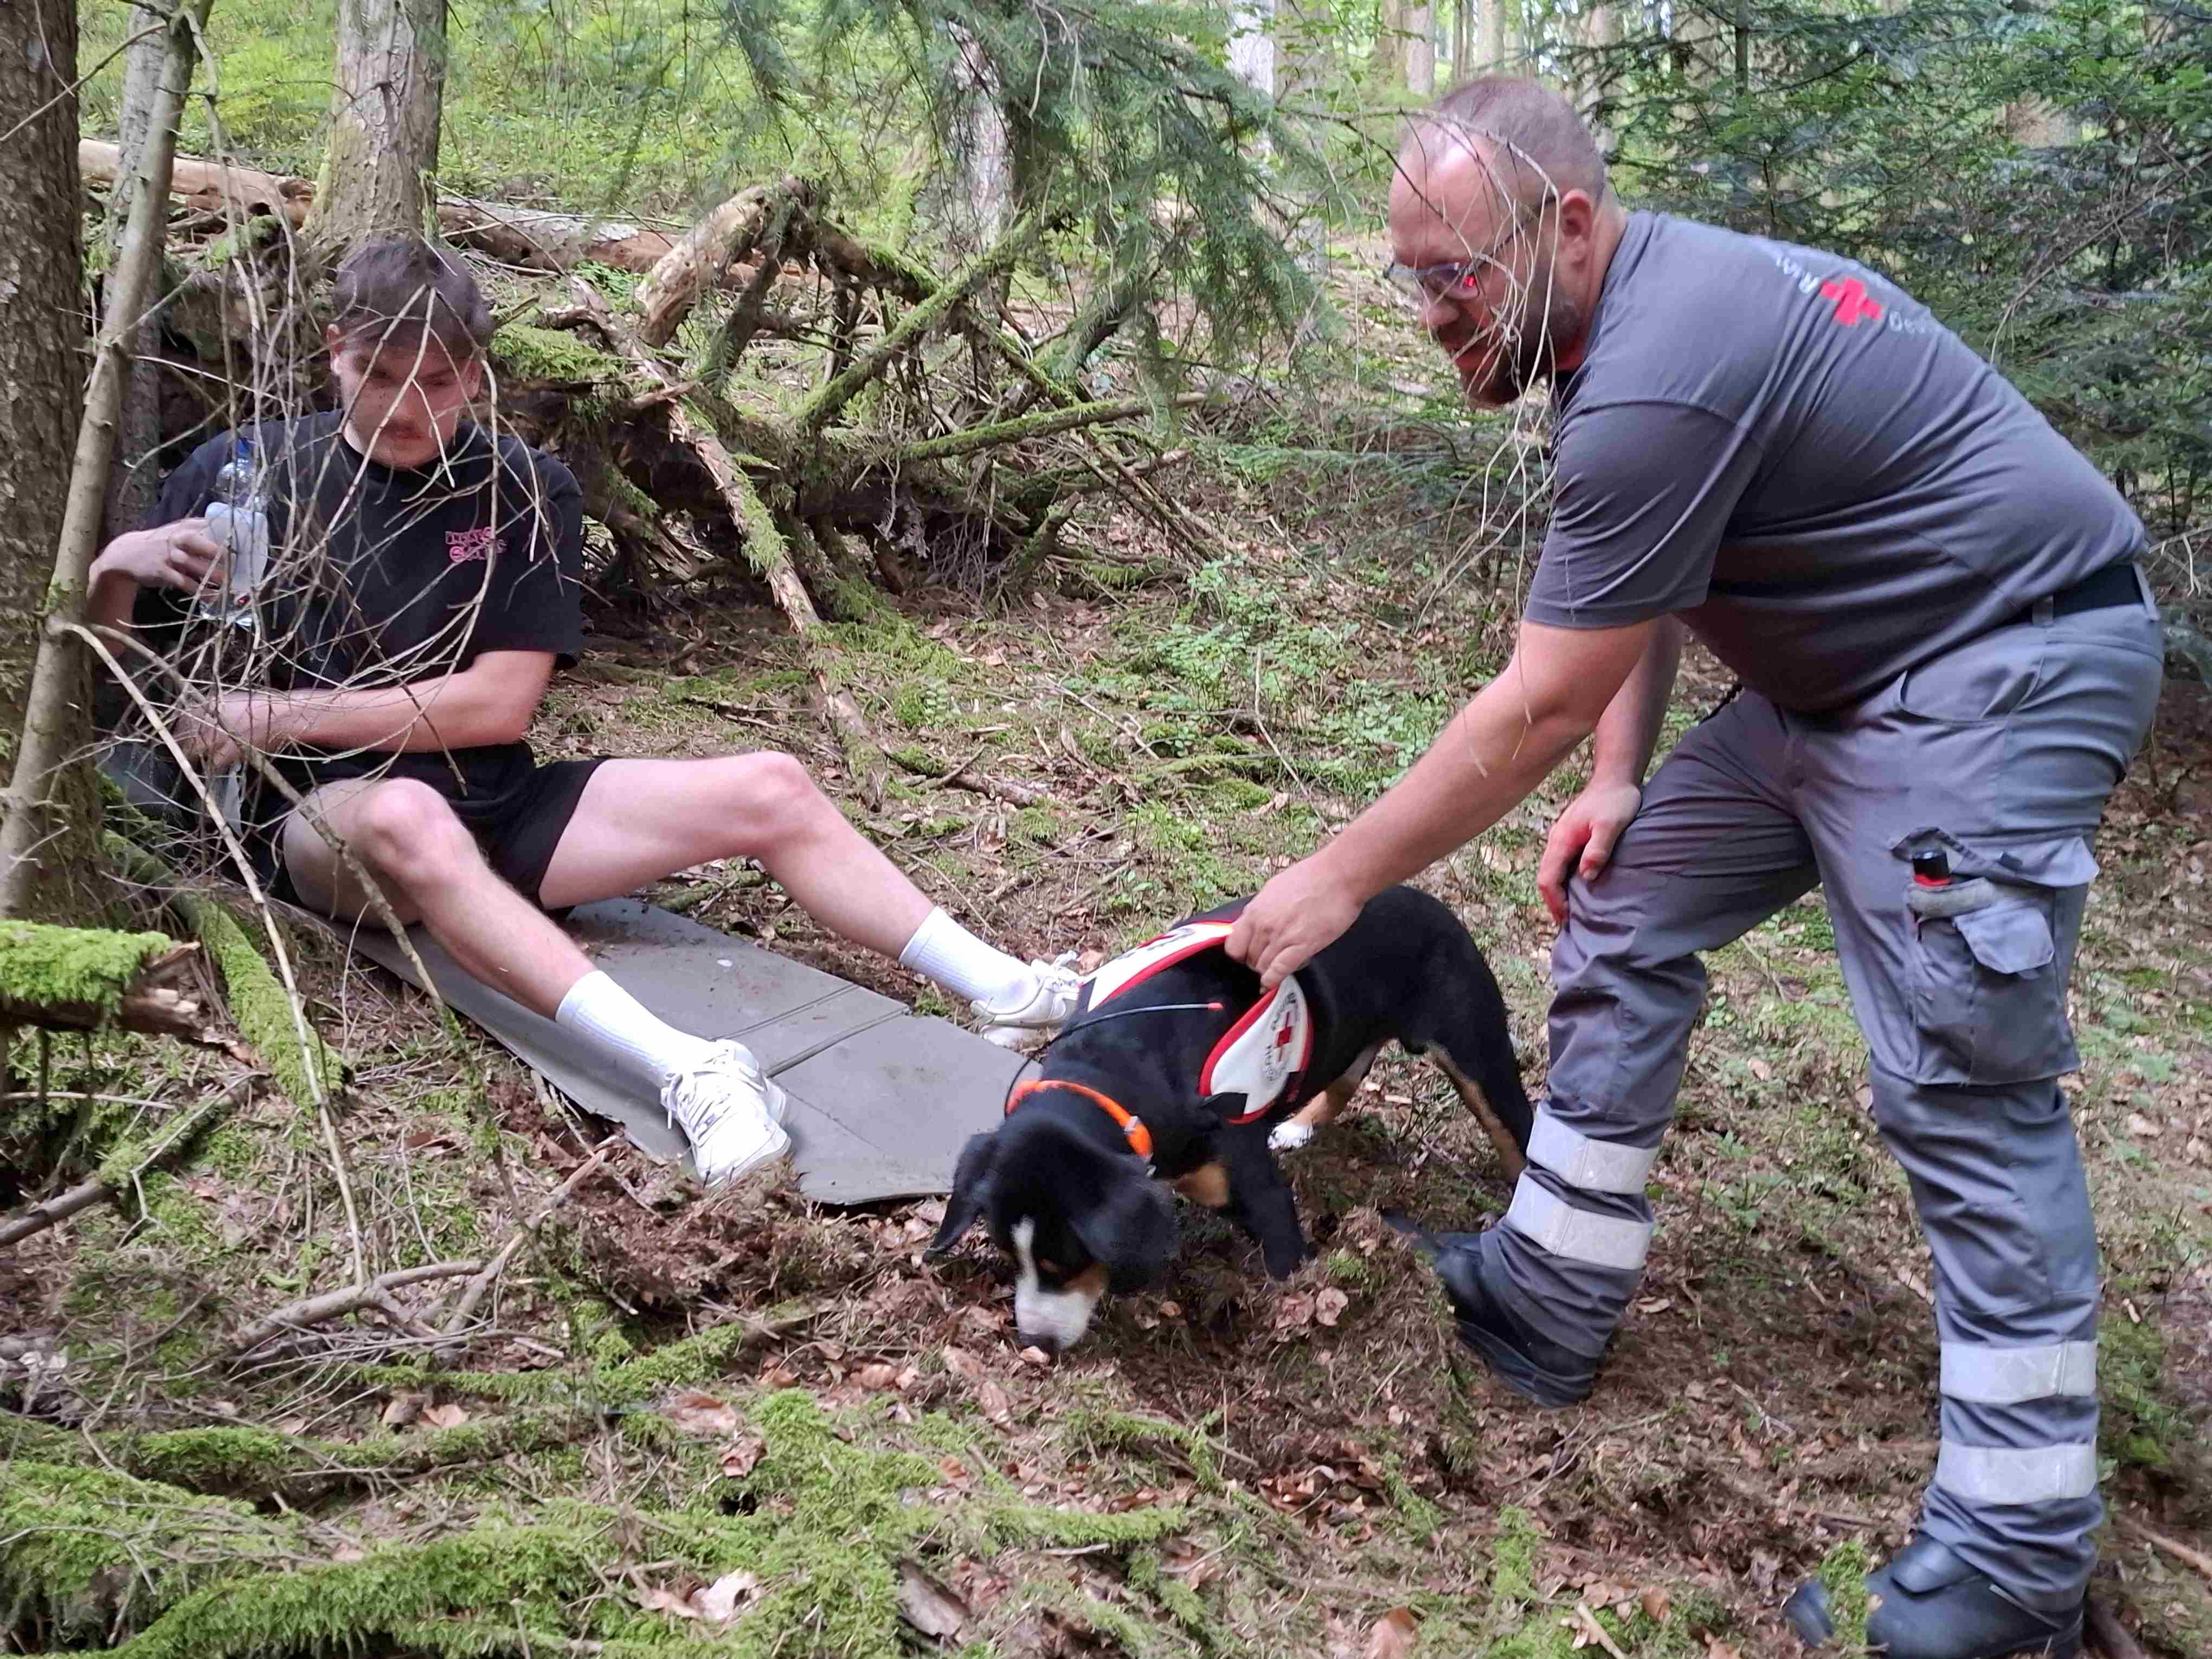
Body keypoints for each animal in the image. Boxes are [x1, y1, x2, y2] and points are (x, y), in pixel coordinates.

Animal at [927, 885, 1534, 1352]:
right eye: (1009, 1256)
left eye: (1065, 1264)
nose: (1036, 1343)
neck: (1110, 1071)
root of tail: (1429, 900)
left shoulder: (1255, 1193)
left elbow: (1287, 1262)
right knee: (1344, 1079)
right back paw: (1298, 1124)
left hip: (1476, 1055)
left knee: (1516, 1132)